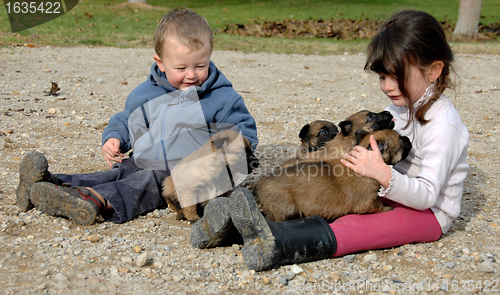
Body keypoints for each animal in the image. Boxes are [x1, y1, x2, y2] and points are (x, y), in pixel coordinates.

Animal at [256, 128, 412, 223]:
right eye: (401, 141)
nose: (408, 139)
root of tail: (261, 184)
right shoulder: (369, 201)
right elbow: (378, 206)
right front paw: (388, 208)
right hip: (285, 208)